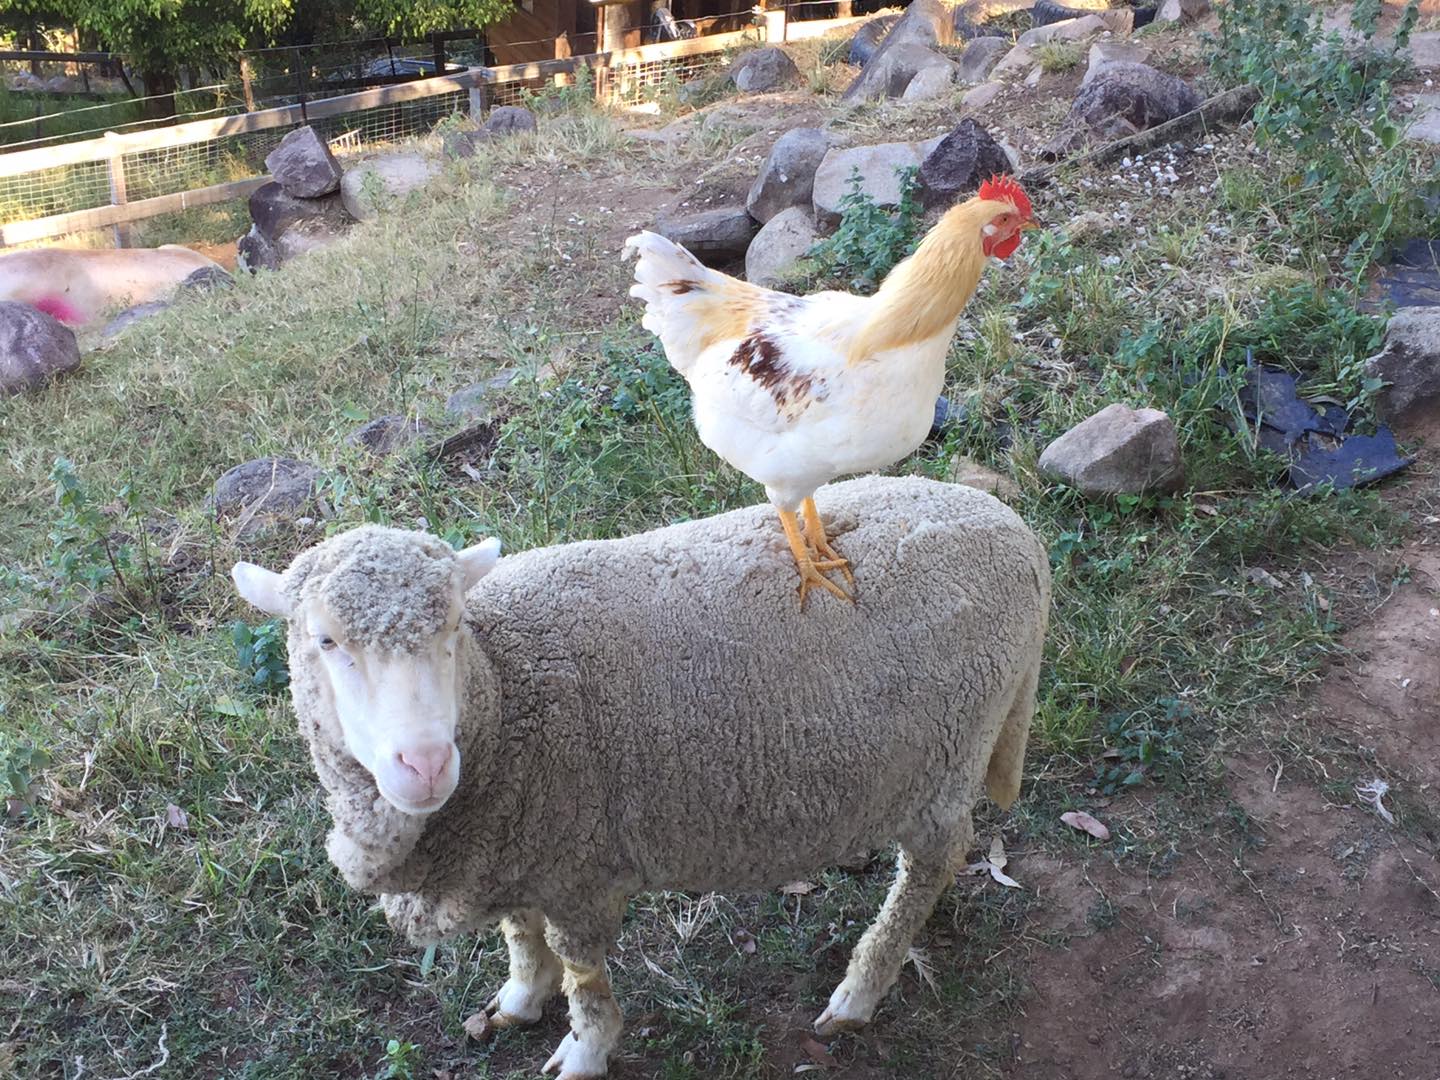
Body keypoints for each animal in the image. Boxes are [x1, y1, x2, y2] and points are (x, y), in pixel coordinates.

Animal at [230, 478, 1054, 1080]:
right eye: (324, 640)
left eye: (454, 626)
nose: (426, 763)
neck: (507, 690)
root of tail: (1017, 534)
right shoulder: (520, 843)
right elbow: (519, 931)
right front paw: (519, 997)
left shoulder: (577, 867)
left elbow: (583, 972)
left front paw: (585, 1050)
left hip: (948, 753)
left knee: (932, 863)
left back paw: (859, 988)